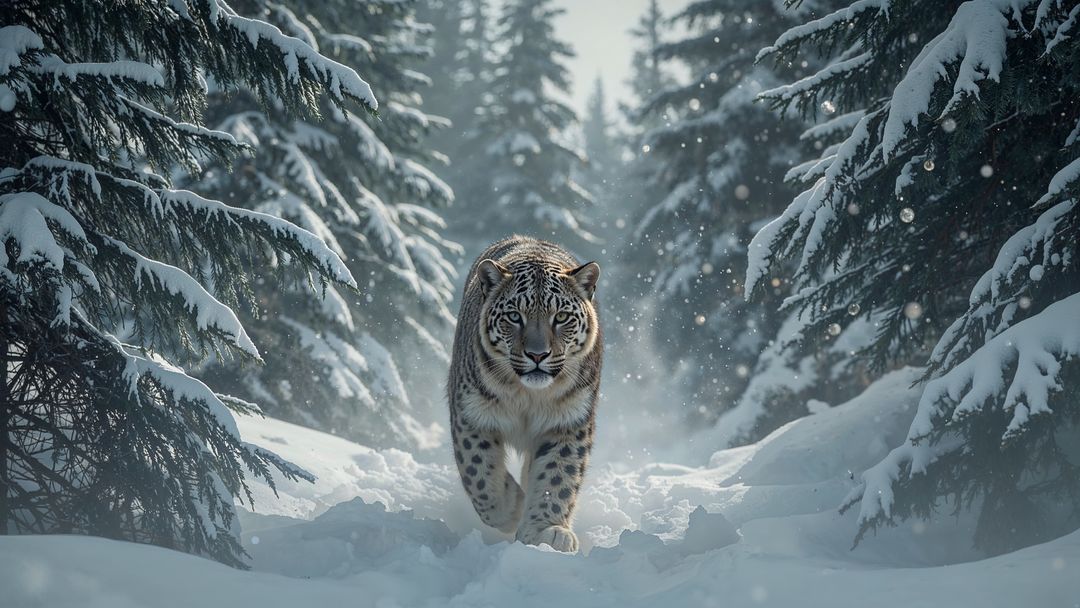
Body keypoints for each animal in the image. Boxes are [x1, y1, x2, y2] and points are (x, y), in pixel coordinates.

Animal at [447, 235, 602, 553]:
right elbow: (479, 475)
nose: (537, 354)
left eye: (562, 316)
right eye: (514, 316)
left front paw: (546, 530)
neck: (527, 397)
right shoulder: (471, 414)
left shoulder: (569, 423)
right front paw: (512, 509)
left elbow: (558, 476)